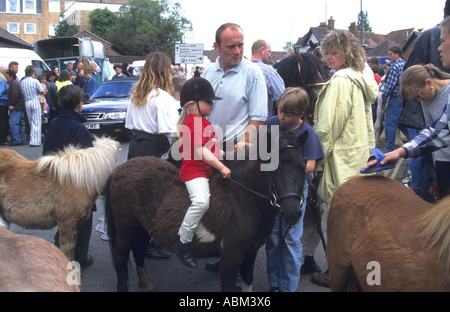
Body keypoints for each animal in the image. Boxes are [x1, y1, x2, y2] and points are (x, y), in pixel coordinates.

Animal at [104, 130, 310, 292]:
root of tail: (120, 168)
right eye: (273, 169)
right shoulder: (231, 256)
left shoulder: (250, 252)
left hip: (142, 227)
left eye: (302, 167)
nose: (292, 213)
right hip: (126, 227)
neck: (242, 197)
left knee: (138, 250)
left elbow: (247, 281)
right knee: (120, 256)